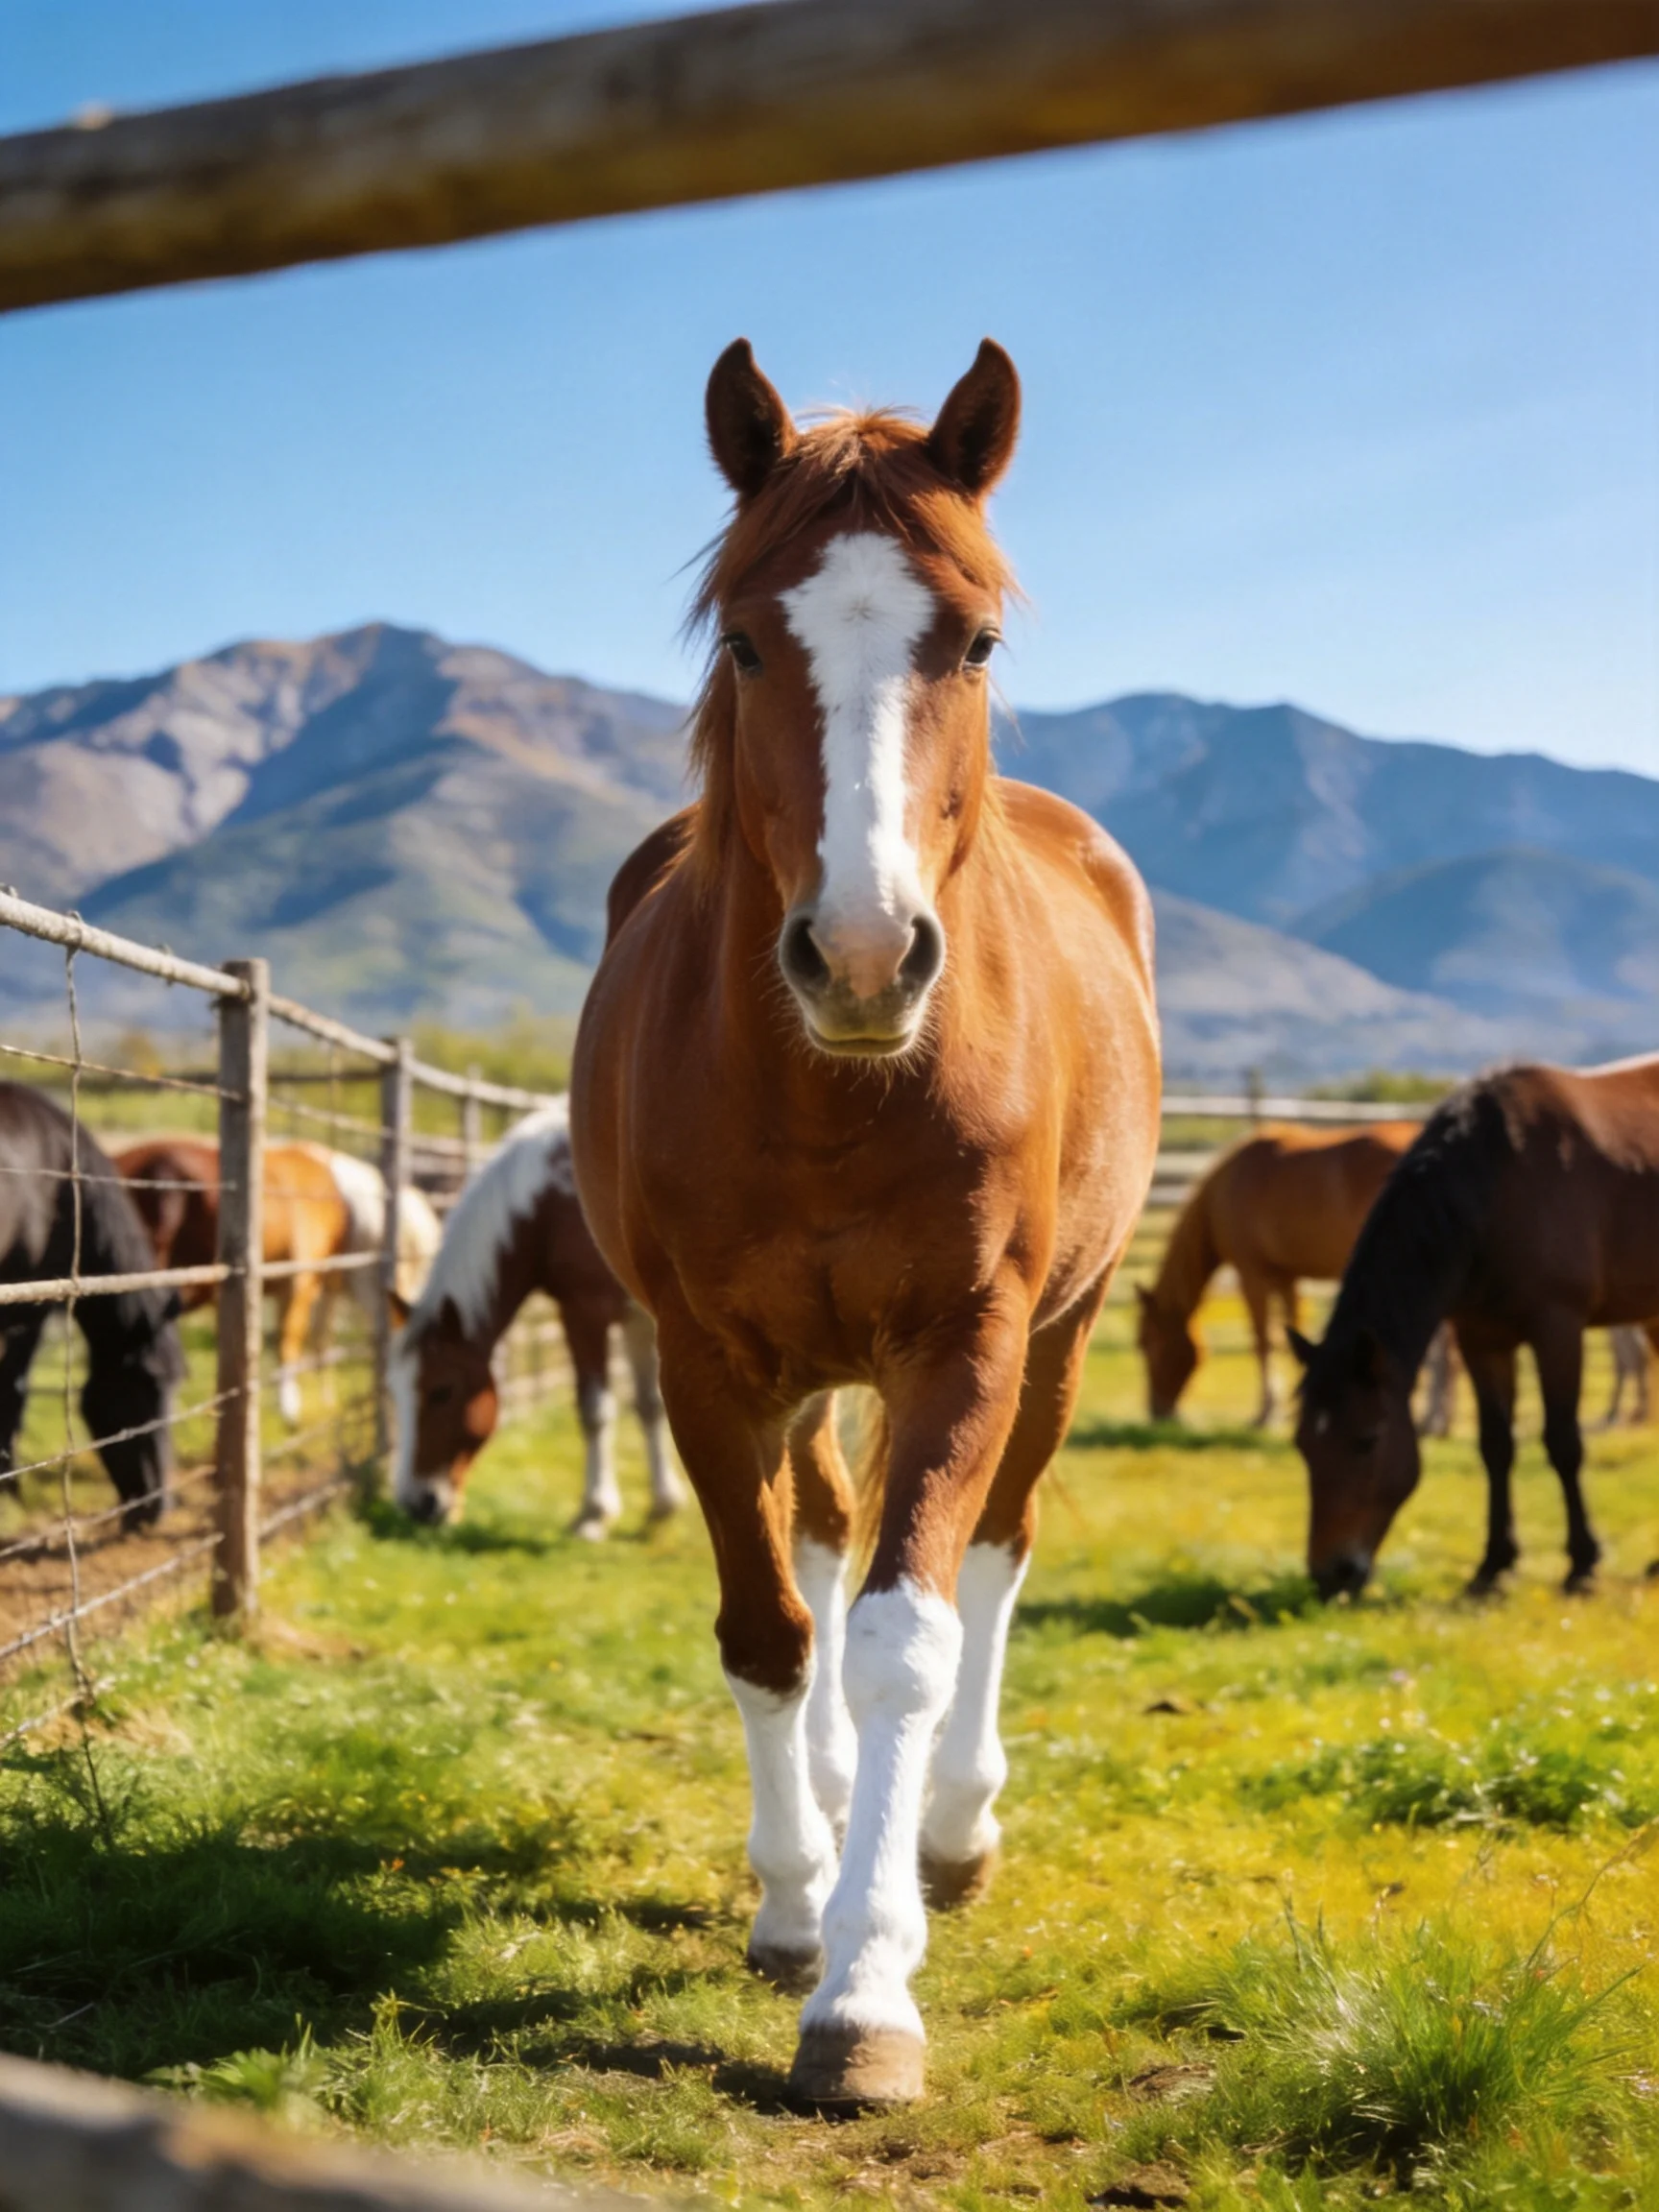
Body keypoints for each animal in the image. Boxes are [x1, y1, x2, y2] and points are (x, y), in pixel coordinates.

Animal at [115, 1138, 439, 1425]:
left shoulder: (324, 1286)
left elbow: (319, 1339)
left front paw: (325, 1399)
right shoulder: (300, 1280)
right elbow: (288, 1340)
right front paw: (289, 1409)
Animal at [388, 1101, 683, 1538]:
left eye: (442, 1391)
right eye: (395, 1393)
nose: (415, 1503)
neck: (550, 1202)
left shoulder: (584, 1312)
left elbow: (595, 1410)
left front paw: (593, 1513)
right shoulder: (638, 1321)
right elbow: (648, 1405)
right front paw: (663, 1505)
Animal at [570, 340, 1161, 2109]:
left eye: (973, 639)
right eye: (746, 639)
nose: (859, 954)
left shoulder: (964, 1344)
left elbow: (910, 1628)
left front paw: (866, 1986)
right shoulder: (703, 1360)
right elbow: (771, 1625)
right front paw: (793, 1903)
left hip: (1058, 1339)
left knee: (997, 1549)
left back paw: (948, 1828)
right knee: (824, 1531)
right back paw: (835, 1815)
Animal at [1136, 1123, 1422, 1425]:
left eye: (1146, 1343)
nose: (1157, 1410)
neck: (1225, 1189)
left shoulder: (1251, 1275)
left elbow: (1263, 1340)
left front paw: (1267, 1411)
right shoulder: (1287, 1278)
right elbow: (1292, 1331)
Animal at [1292, 1055, 1659, 1600]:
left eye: (1366, 1440)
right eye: (1303, 1446)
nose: (1330, 1575)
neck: (1497, 1182)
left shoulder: (1558, 1329)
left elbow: (1563, 1443)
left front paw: (1581, 1564)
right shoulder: (1481, 1339)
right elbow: (1495, 1447)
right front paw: (1493, 1566)